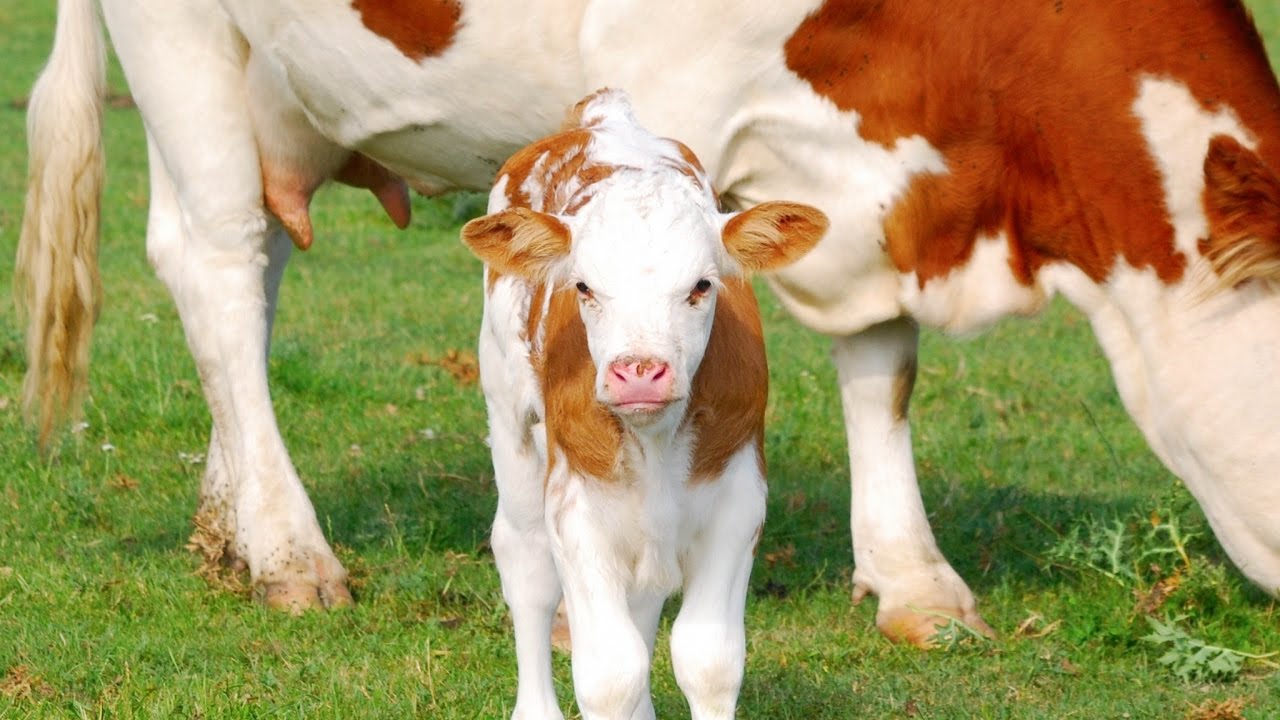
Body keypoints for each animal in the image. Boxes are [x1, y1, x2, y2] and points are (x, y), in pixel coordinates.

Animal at [18, 0, 1280, 645]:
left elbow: (880, 363)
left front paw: (912, 580)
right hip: (181, 43)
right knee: (217, 264)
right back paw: (288, 552)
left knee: (256, 264)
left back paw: (227, 523)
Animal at [459, 87, 826, 720]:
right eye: (584, 286)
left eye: (702, 285)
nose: (639, 373)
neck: (655, 439)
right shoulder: (575, 504)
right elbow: (610, 672)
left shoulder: (739, 498)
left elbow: (708, 659)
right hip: (509, 419)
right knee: (526, 565)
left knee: (645, 596)